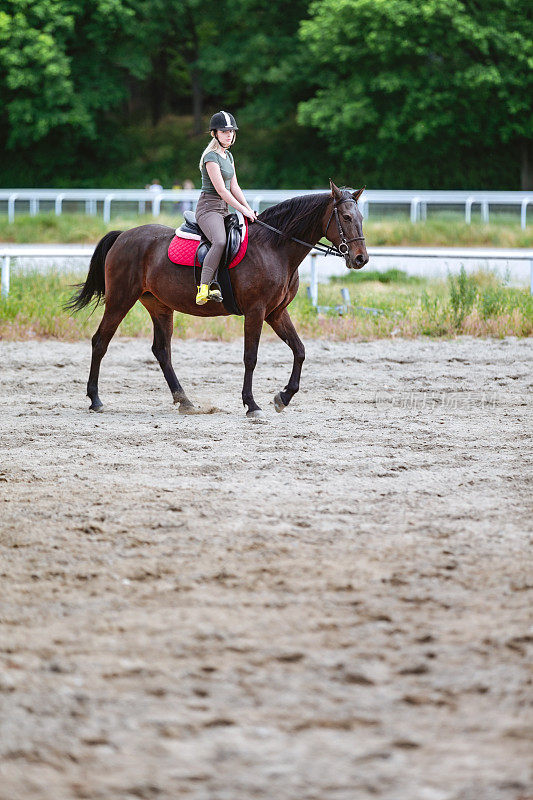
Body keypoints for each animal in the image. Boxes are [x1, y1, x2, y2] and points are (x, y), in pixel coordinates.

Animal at [65, 180, 366, 418]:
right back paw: (95, 399)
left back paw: (184, 400)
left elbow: (300, 350)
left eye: (361, 217)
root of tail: (123, 236)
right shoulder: (256, 312)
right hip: (120, 300)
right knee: (100, 342)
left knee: (162, 351)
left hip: (159, 306)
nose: (361, 259)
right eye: (346, 217)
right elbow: (251, 357)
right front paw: (252, 404)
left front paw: (283, 397)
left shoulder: (276, 313)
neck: (274, 247)